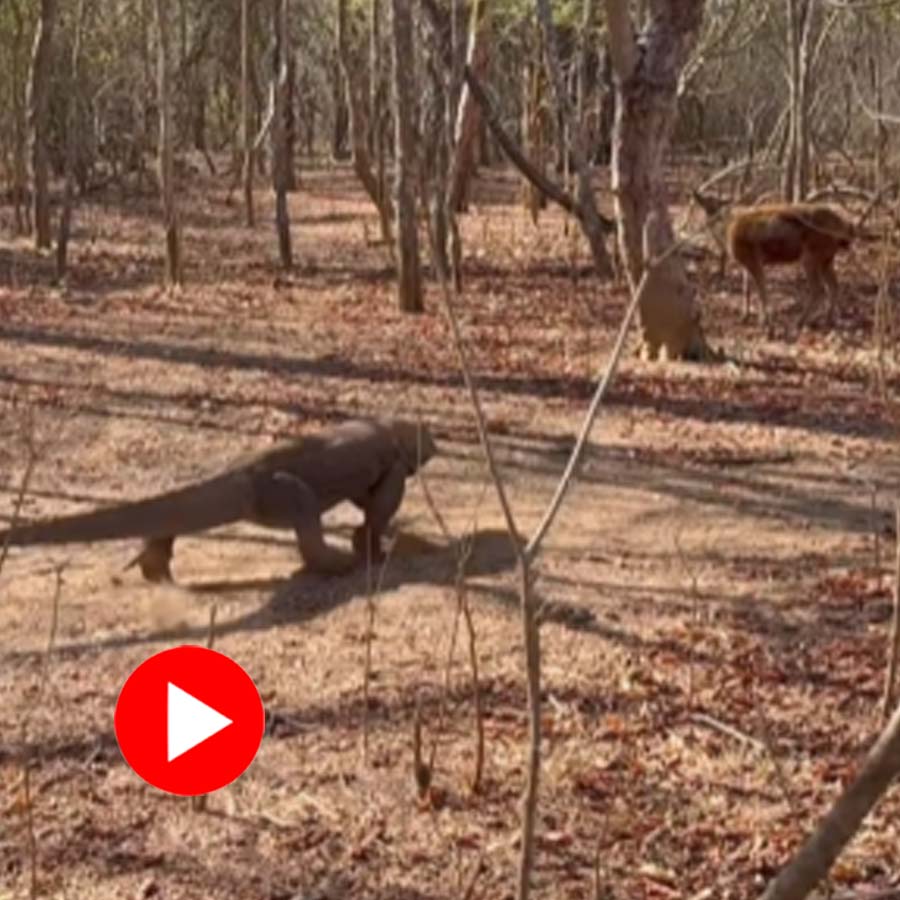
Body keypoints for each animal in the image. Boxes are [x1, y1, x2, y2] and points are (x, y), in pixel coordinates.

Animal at [693, 188, 859, 336]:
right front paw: (745, 317)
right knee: (833, 286)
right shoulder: (746, 263)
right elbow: (747, 289)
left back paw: (801, 321)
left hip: (811, 256)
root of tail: (845, 226)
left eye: (709, 204)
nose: (708, 223)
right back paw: (827, 319)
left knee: (818, 288)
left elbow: (762, 291)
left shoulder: (754, 260)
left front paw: (766, 324)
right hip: (827, 258)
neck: (727, 229)